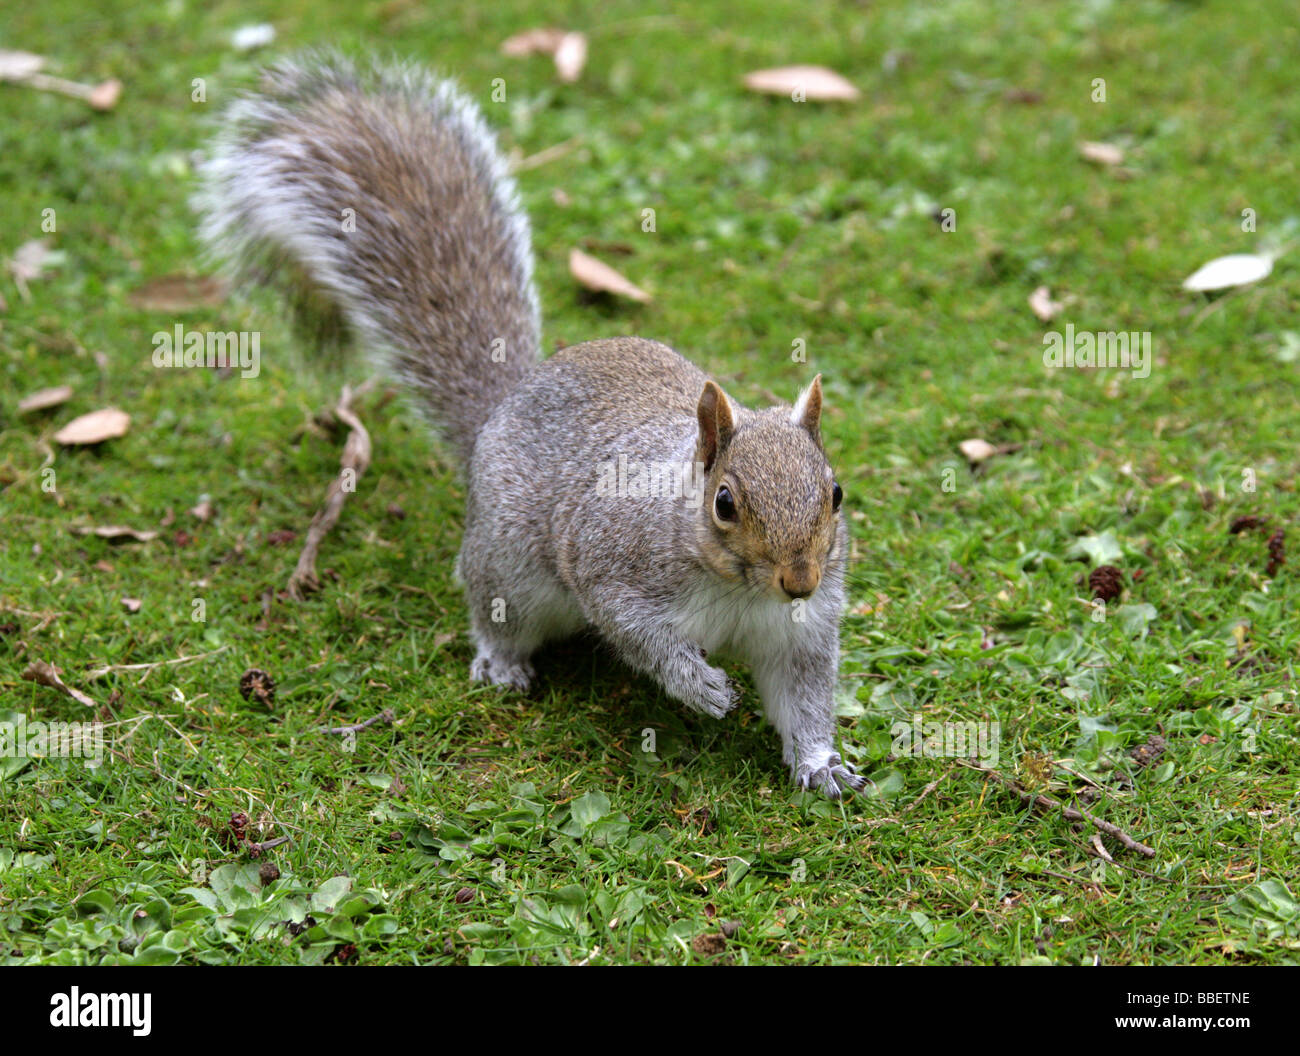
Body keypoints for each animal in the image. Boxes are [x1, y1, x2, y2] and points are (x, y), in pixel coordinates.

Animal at [200, 49, 863, 790]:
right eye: (724, 503)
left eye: (836, 493)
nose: (800, 581)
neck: (738, 588)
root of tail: (502, 406)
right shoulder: (613, 564)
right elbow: (641, 636)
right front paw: (700, 687)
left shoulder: (801, 633)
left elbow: (803, 696)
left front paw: (822, 765)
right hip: (509, 566)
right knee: (495, 609)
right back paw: (502, 662)